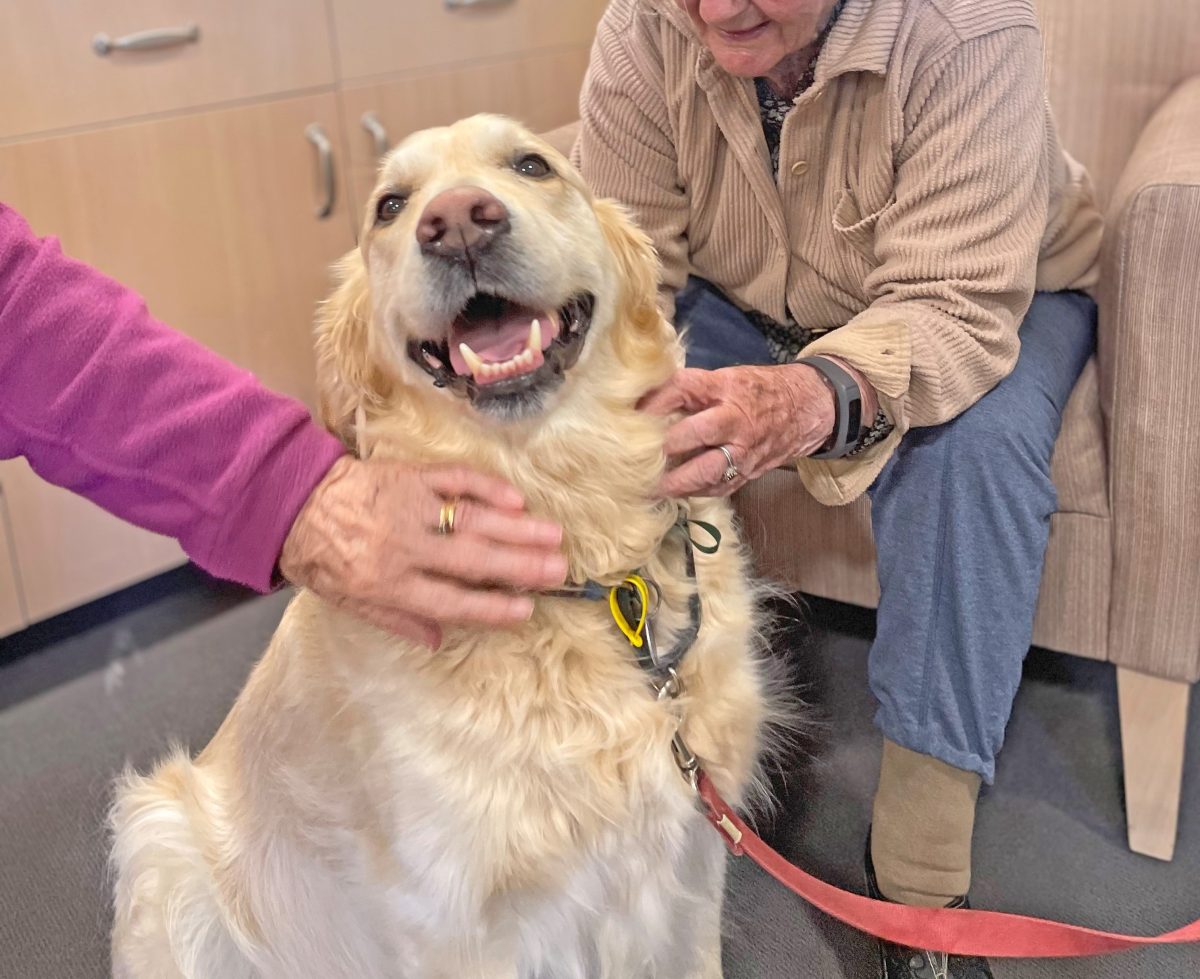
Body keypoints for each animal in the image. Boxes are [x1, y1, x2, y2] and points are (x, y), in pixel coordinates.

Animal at [110, 116, 777, 979]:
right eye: (390, 206)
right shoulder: (452, 919)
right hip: (162, 839)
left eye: (533, 164)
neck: (582, 560)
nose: (458, 221)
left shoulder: (693, 852)